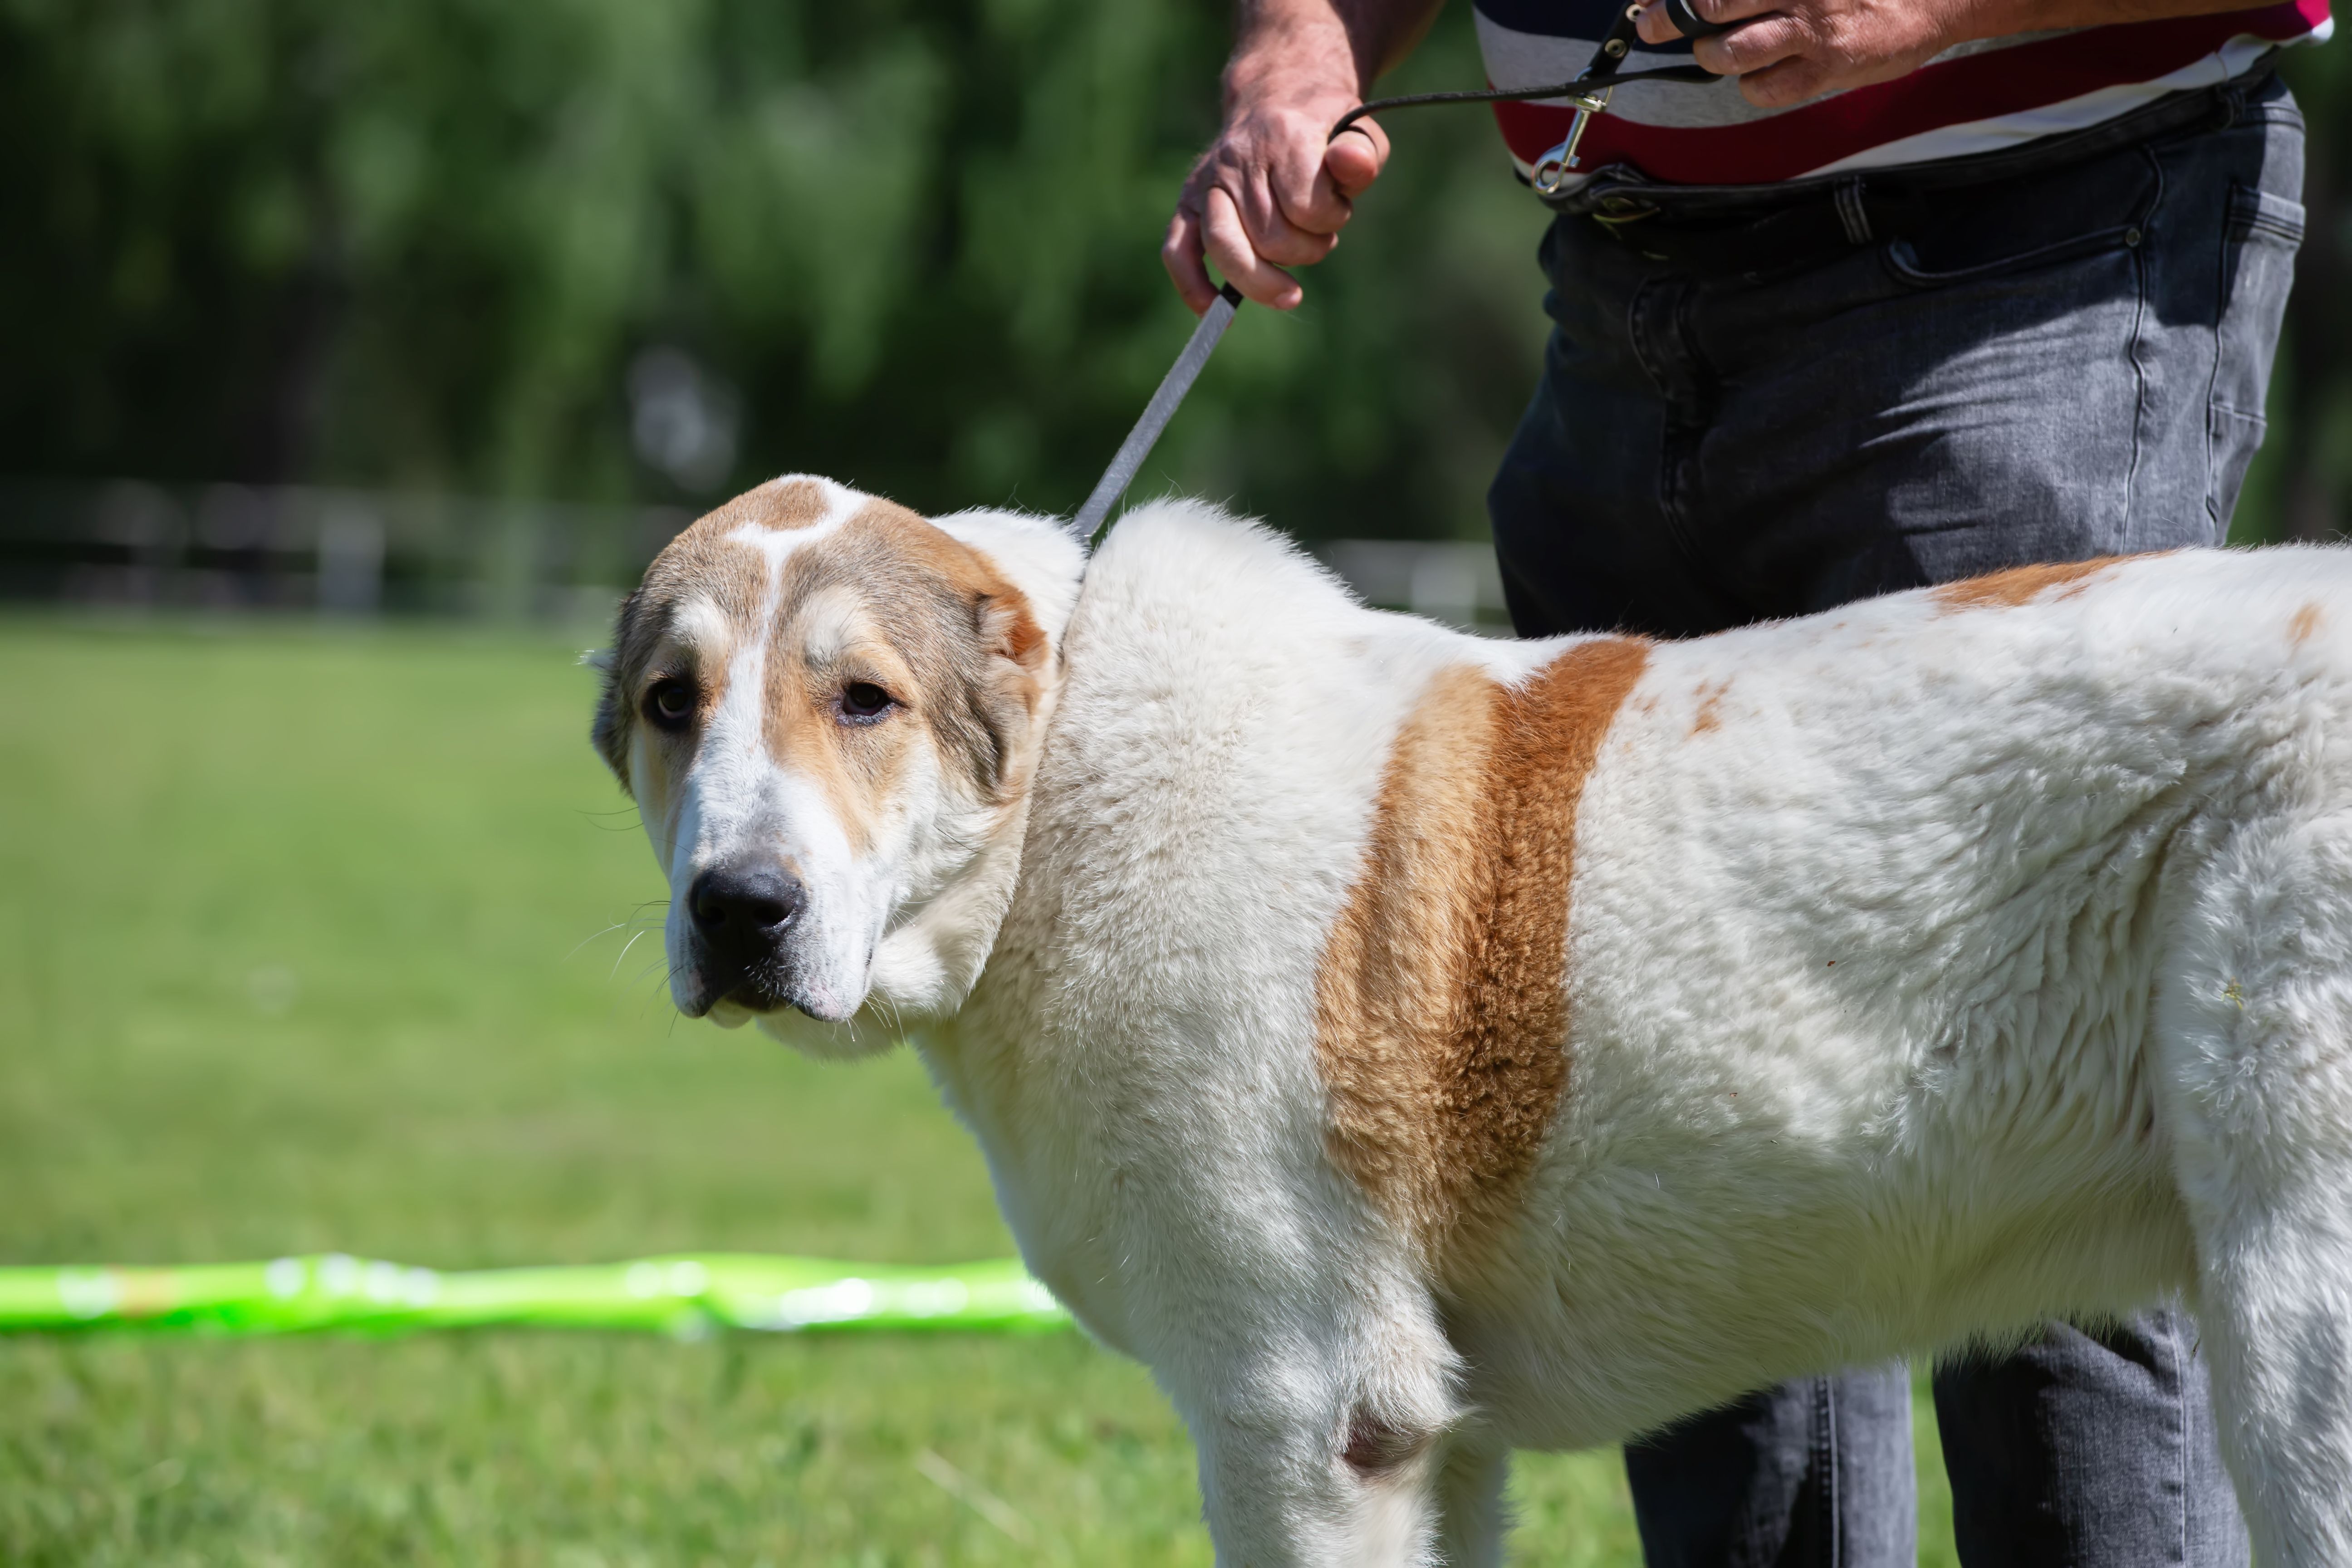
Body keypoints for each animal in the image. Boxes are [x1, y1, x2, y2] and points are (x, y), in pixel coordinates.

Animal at [593, 480, 2352, 1568]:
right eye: (673, 704)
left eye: (865, 701)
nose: (738, 908)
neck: (1057, 793)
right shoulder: (1435, 1439)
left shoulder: (1304, 1414)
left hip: (2299, 1332)